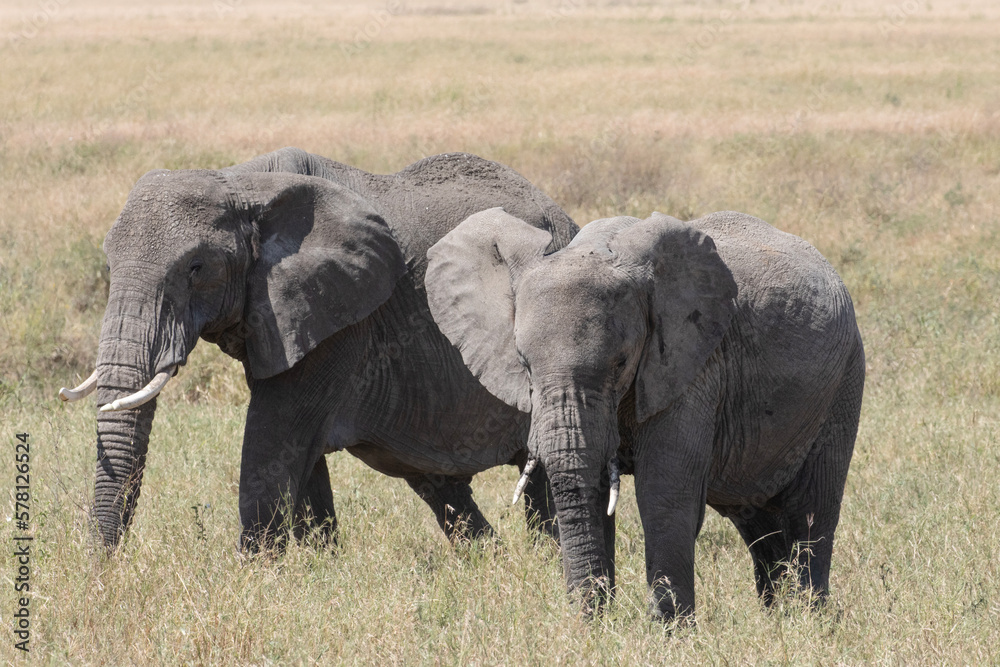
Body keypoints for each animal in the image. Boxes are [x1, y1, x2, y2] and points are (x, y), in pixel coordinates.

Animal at [58, 147, 577, 552]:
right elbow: (300, 460)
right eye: (108, 264)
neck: (241, 182)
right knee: (442, 488)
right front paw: (317, 565)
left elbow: (271, 444)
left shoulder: (341, 318)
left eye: (196, 268)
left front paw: (257, 578)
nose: (102, 573)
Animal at [425, 208, 865, 620]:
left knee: (812, 512)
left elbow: (663, 492)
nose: (584, 618)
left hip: (844, 381)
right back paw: (778, 617)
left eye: (621, 363)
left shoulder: (692, 366)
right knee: (758, 521)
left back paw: (809, 620)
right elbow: (594, 488)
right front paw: (598, 626)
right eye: (524, 364)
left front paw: (668, 632)